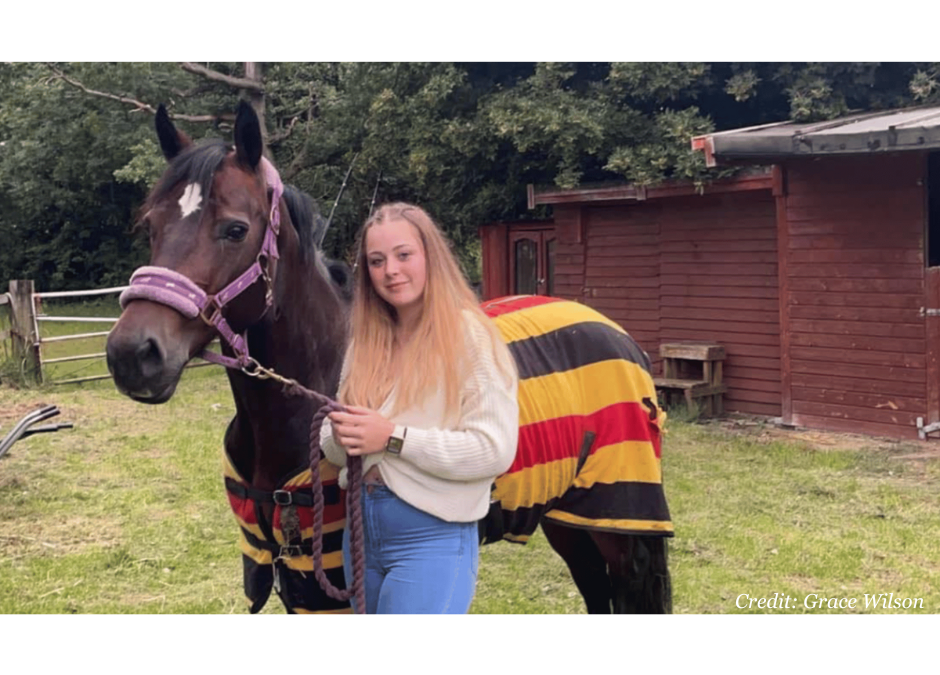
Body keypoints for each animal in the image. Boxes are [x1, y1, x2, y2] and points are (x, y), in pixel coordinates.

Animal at [106, 101, 672, 616]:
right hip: (568, 523)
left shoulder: (329, 589)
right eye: (150, 224)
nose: (132, 354)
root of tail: (615, 334)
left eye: (235, 229)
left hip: (618, 526)